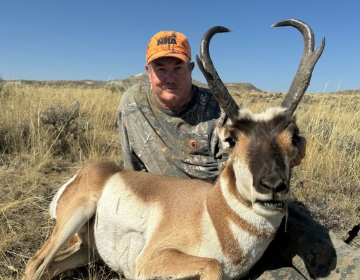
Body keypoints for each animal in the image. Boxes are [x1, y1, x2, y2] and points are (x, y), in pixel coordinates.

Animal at [23, 18, 326, 278]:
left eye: (293, 138)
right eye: (232, 139)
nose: (273, 186)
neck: (213, 211)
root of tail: (96, 169)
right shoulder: (149, 261)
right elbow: (213, 265)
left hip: (86, 250)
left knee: (48, 267)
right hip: (75, 216)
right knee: (35, 264)